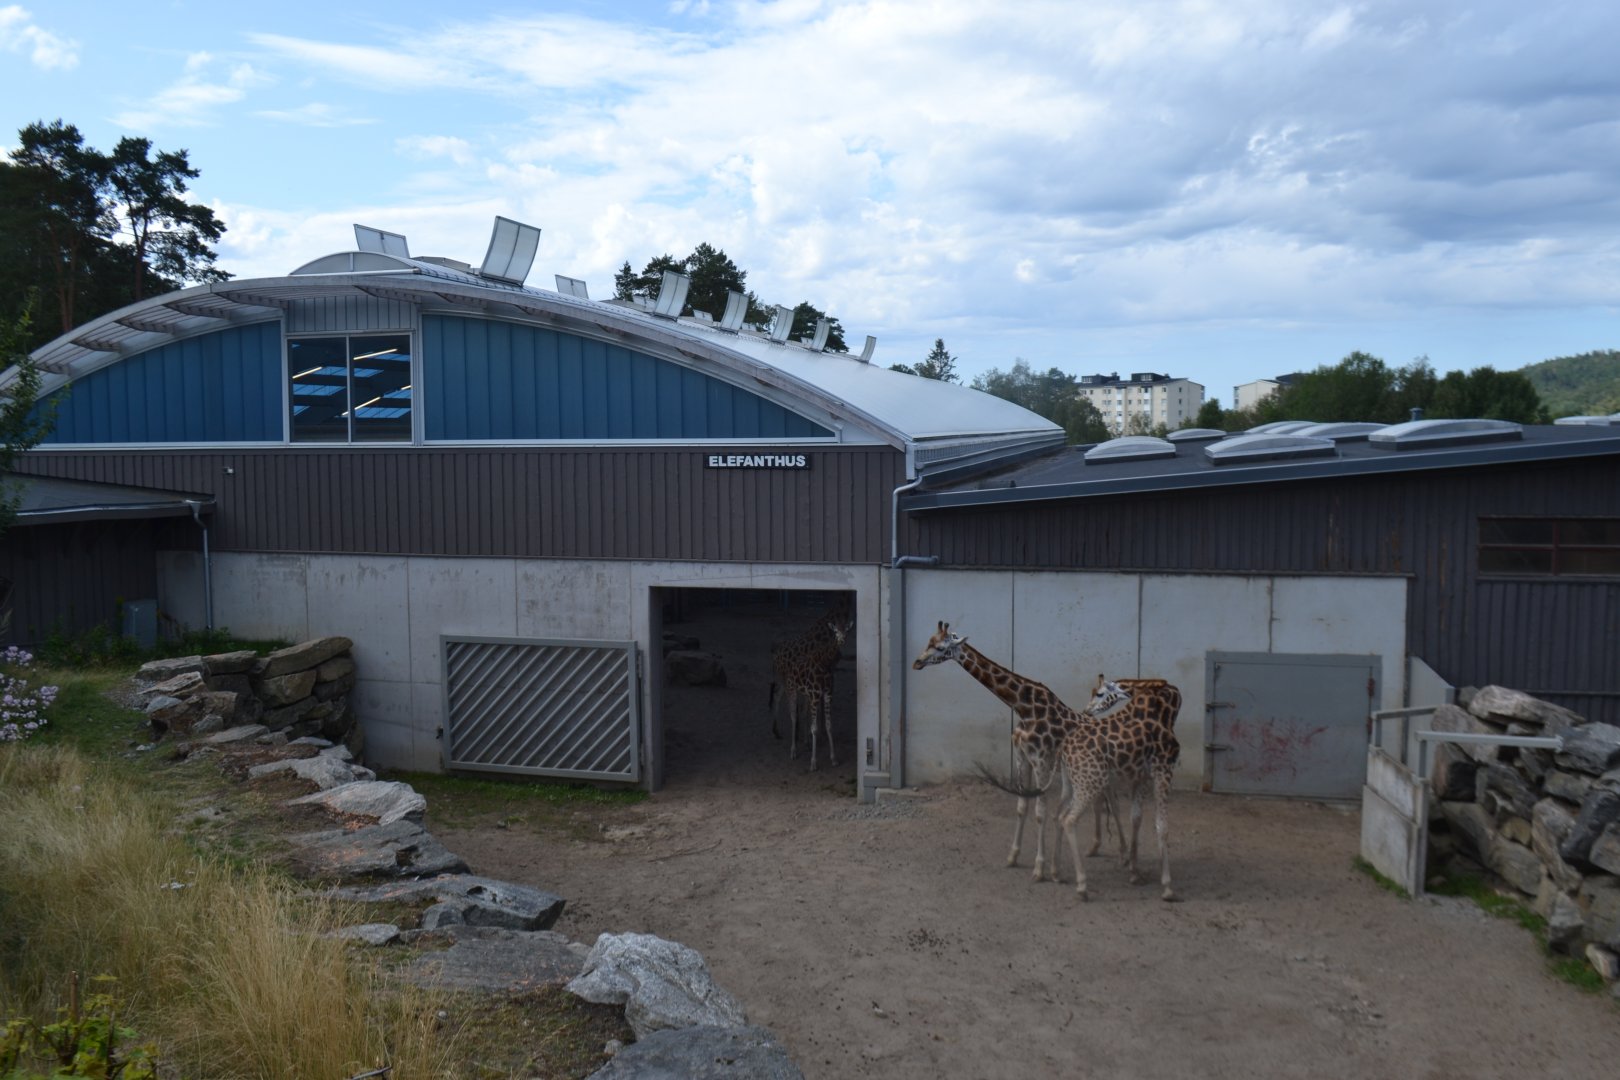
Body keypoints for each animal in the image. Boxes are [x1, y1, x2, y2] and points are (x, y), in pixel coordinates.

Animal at [767, 602, 854, 771]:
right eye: (835, 631)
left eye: (846, 630)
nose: (841, 640)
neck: (825, 663)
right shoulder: (814, 694)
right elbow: (814, 728)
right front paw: (813, 763)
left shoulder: (827, 694)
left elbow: (829, 725)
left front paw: (834, 759)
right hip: (790, 687)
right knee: (792, 714)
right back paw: (793, 750)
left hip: (798, 690)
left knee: (795, 708)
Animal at [913, 622, 1180, 901]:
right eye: (929, 641)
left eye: (940, 647)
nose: (916, 662)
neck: (1025, 707)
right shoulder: (1022, 758)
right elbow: (1022, 807)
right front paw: (1014, 857)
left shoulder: (1041, 759)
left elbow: (1040, 812)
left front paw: (1039, 869)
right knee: (1101, 802)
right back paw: (1098, 849)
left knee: (1113, 804)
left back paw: (1123, 858)